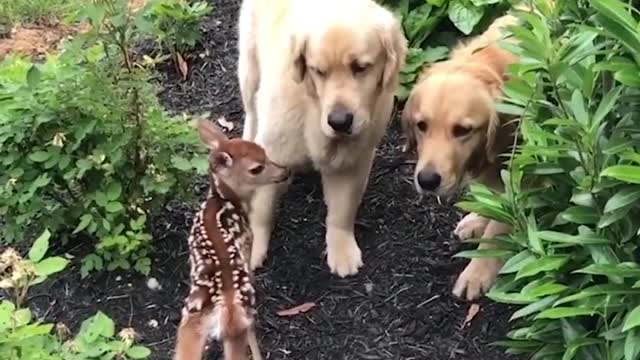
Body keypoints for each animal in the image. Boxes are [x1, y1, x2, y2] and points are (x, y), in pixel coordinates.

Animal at [175, 119, 290, 358]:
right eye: (257, 168)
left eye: (265, 153)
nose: (285, 171)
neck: (224, 200)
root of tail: (225, 306)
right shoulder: (247, 242)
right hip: (240, 319)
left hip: (190, 321)